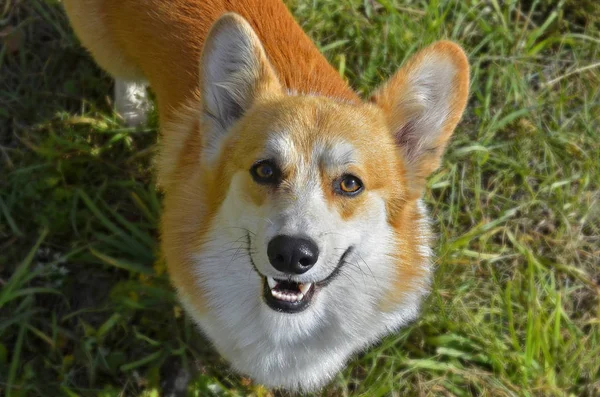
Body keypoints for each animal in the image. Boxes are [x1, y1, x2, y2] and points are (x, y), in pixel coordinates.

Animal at [63, 0, 472, 390]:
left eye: (350, 184)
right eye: (264, 170)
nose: (291, 254)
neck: (285, 327)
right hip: (102, 41)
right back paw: (131, 110)